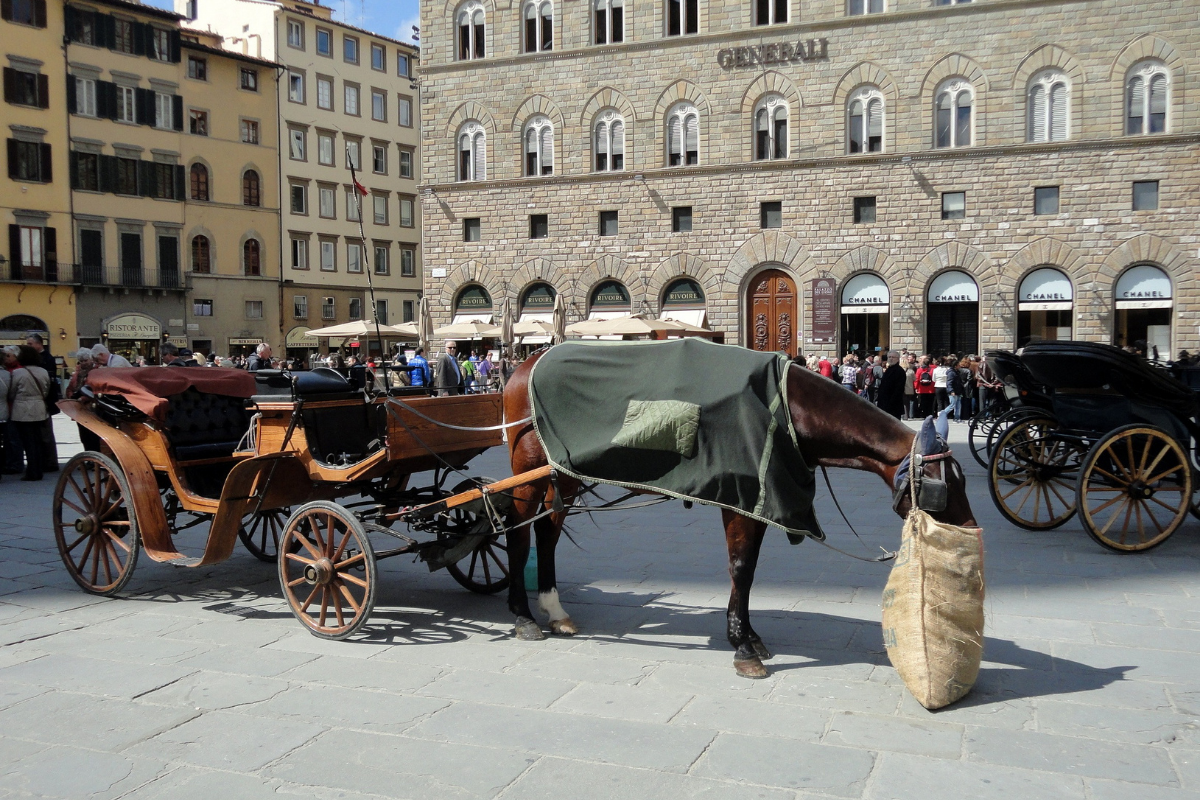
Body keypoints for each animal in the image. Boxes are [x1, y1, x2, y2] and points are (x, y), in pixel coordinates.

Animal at [496, 350, 974, 676]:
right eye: (946, 486)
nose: (970, 529)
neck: (787, 409)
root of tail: (523, 365)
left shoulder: (759, 501)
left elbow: (749, 568)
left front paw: (748, 635)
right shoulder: (741, 500)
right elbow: (741, 568)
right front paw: (742, 645)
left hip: (562, 476)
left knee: (547, 534)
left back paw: (553, 608)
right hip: (527, 473)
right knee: (518, 534)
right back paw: (521, 614)